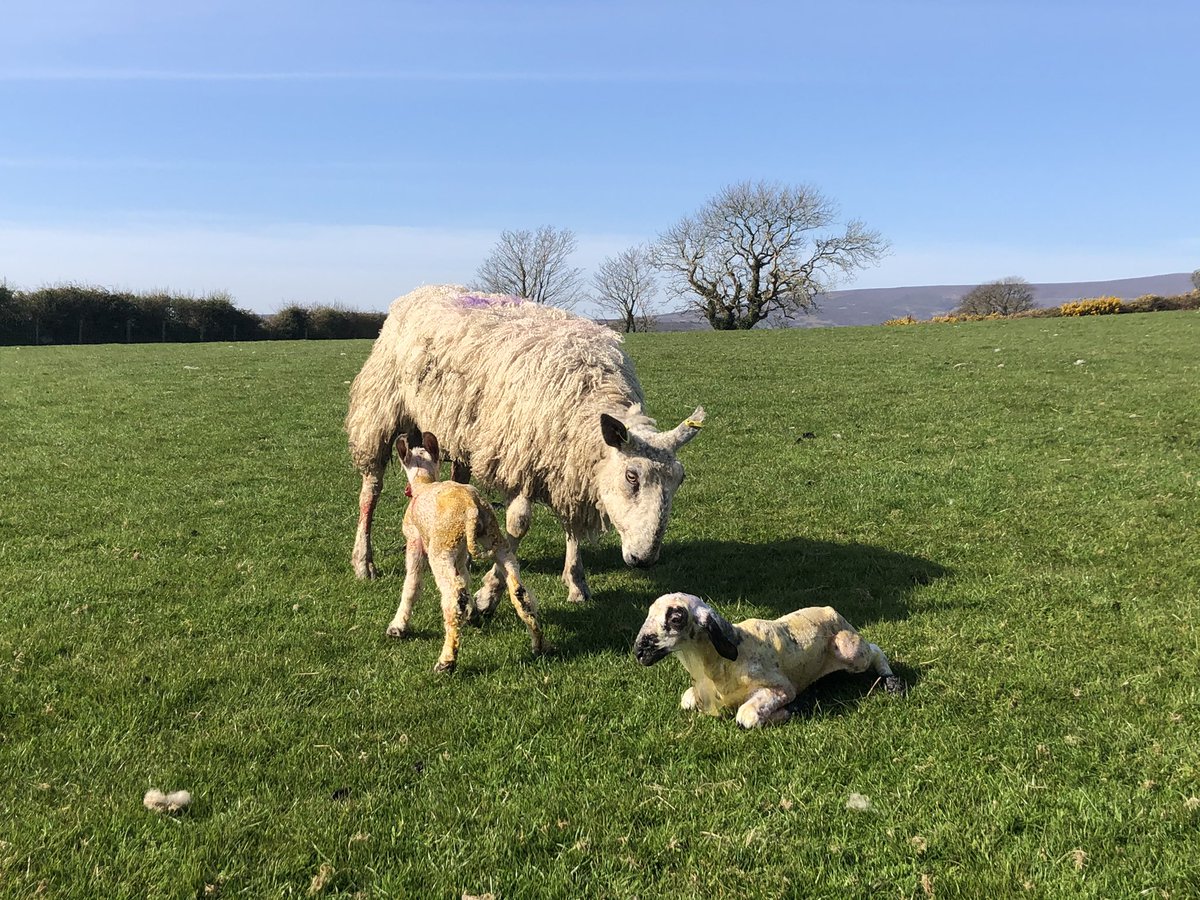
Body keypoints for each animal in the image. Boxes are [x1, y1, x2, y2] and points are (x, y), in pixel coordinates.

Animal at [345, 282, 700, 607]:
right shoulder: (517, 458)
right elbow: (518, 525)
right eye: (631, 477)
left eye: (679, 480)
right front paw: (490, 593)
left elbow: (571, 525)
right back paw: (363, 561)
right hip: (380, 409)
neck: (589, 391)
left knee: (458, 480)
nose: (645, 559)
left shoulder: (567, 465)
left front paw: (576, 581)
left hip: (458, 428)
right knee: (370, 489)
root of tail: (421, 290)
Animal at [391, 434, 542, 672]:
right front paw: (473, 614)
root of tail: (471, 509)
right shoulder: (461, 551)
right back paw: (539, 645)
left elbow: (412, 584)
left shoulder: (414, 539)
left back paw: (446, 662)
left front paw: (397, 626)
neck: (423, 483)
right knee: (519, 590)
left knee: (454, 596)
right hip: (492, 536)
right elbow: (466, 576)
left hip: (440, 548)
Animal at [633, 595, 902, 729]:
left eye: (676, 618)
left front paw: (795, 707)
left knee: (874, 649)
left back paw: (892, 683)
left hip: (849, 649)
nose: (639, 652)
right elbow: (687, 699)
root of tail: (833, 612)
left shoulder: (781, 687)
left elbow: (746, 718)